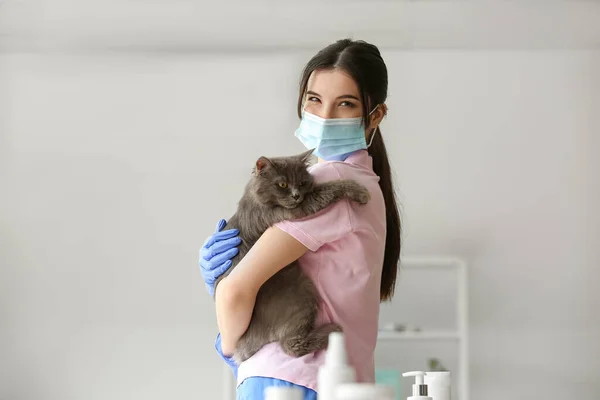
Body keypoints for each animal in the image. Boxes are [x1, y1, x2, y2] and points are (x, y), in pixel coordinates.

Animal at [216, 148, 370, 364]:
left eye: (302, 182)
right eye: (282, 184)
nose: (296, 195)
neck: (254, 198)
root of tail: (241, 349)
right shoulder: (290, 210)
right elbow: (329, 188)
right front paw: (360, 191)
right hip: (303, 294)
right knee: (291, 346)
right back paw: (333, 330)